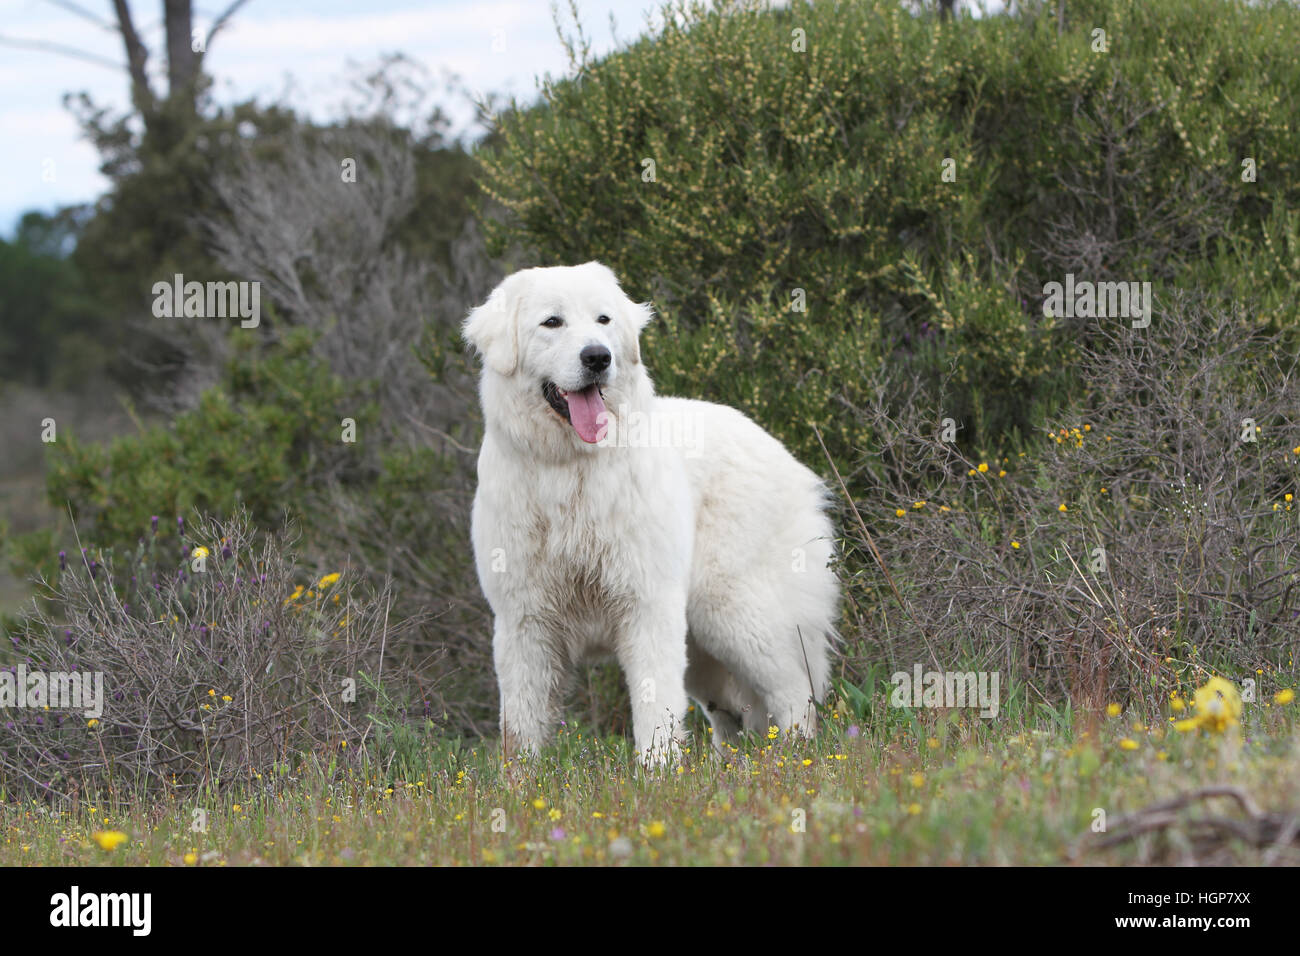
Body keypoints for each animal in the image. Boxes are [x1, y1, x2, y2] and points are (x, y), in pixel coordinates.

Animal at [462, 260, 837, 764]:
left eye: (603, 320)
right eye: (552, 322)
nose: (598, 357)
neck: (571, 470)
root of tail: (782, 451)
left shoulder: (646, 605)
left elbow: (654, 706)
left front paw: (657, 773)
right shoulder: (524, 622)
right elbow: (520, 729)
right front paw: (520, 784)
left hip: (737, 615)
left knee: (795, 694)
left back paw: (797, 761)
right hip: (705, 651)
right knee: (736, 716)